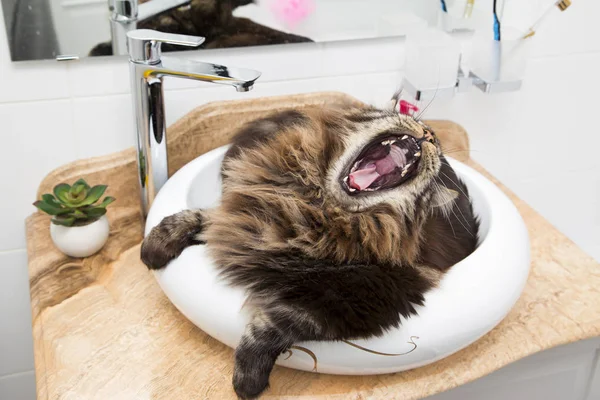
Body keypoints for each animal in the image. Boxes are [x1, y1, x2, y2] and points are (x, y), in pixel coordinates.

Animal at [139, 104, 478, 398]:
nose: (430, 133)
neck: (313, 207)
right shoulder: (243, 217)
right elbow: (200, 217)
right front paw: (155, 245)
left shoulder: (362, 300)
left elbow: (271, 328)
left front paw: (248, 380)